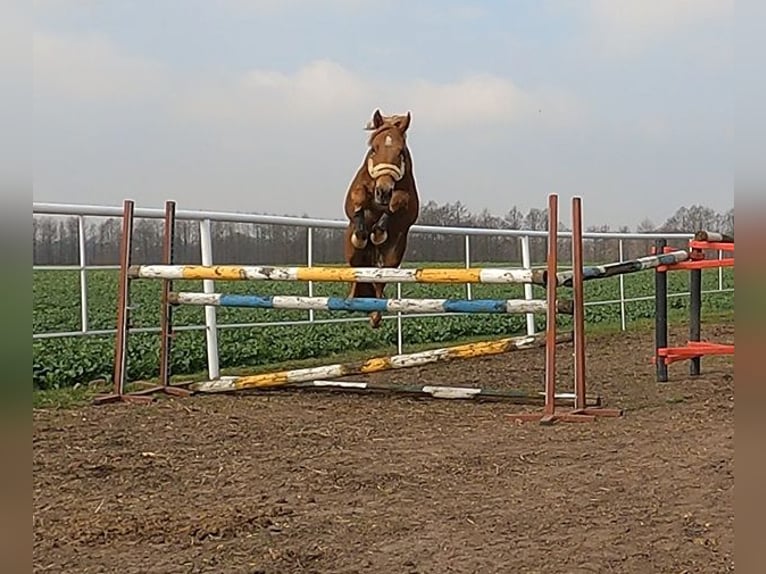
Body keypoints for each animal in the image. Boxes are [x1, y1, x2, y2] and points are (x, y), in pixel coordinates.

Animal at [343, 109, 420, 328]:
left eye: (400, 151)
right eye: (373, 149)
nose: (383, 191)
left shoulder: (407, 203)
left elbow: (398, 201)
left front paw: (379, 230)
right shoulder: (354, 197)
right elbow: (358, 197)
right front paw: (363, 232)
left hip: (392, 258)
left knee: (379, 280)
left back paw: (375, 314)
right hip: (353, 253)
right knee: (358, 272)